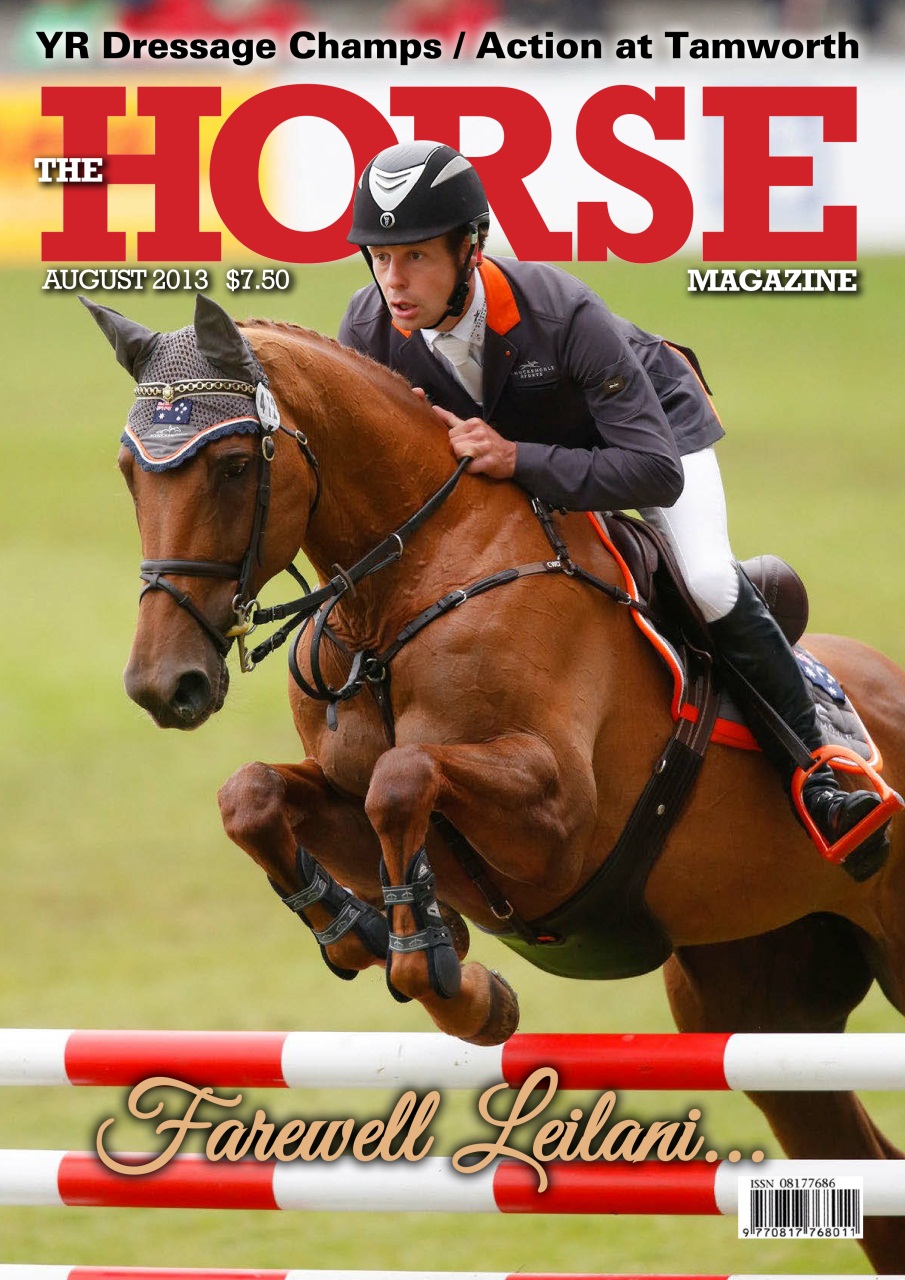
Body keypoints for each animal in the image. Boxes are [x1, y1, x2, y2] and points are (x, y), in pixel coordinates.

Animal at [85, 292, 905, 1272]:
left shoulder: (559, 823)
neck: (399, 597)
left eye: (237, 464)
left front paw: (451, 979)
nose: (163, 686)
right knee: (867, 1181)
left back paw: (837, 793)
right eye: (129, 472)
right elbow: (254, 796)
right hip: (760, 1003)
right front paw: (362, 930)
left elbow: (402, 779)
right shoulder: (356, 797)